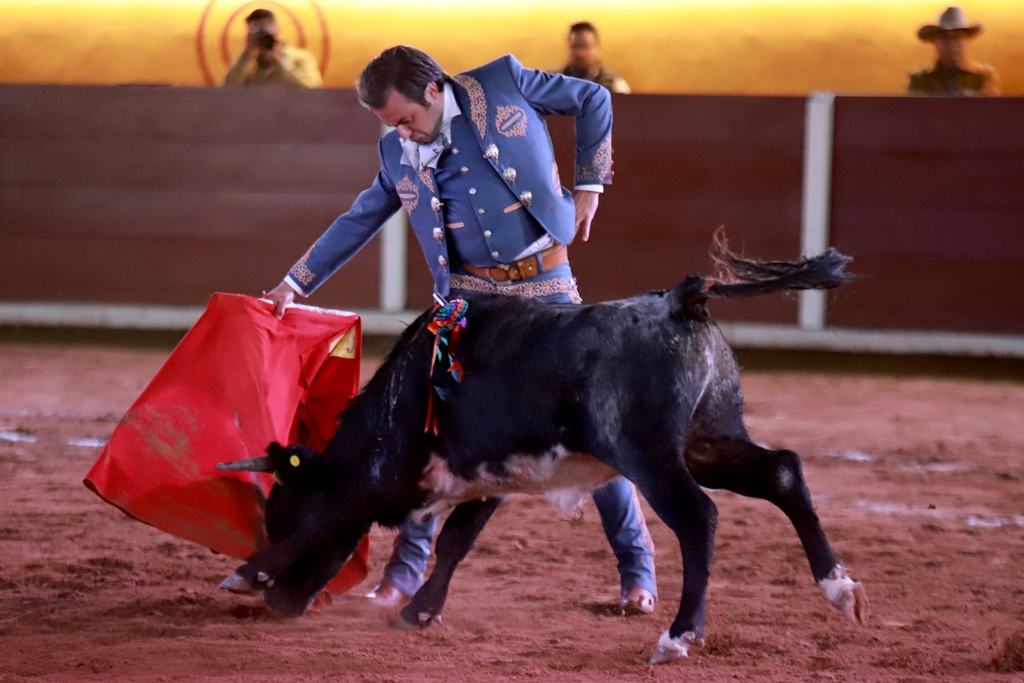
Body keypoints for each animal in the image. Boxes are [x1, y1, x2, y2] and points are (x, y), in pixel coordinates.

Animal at [220, 244, 868, 663]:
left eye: (281, 513)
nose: (279, 605)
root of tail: (680, 299)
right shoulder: (485, 477)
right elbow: (456, 541)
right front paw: (418, 612)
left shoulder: (388, 466)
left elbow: (337, 512)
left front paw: (248, 573)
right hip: (708, 440)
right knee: (782, 472)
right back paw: (840, 589)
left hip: (650, 455)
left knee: (698, 516)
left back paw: (680, 636)